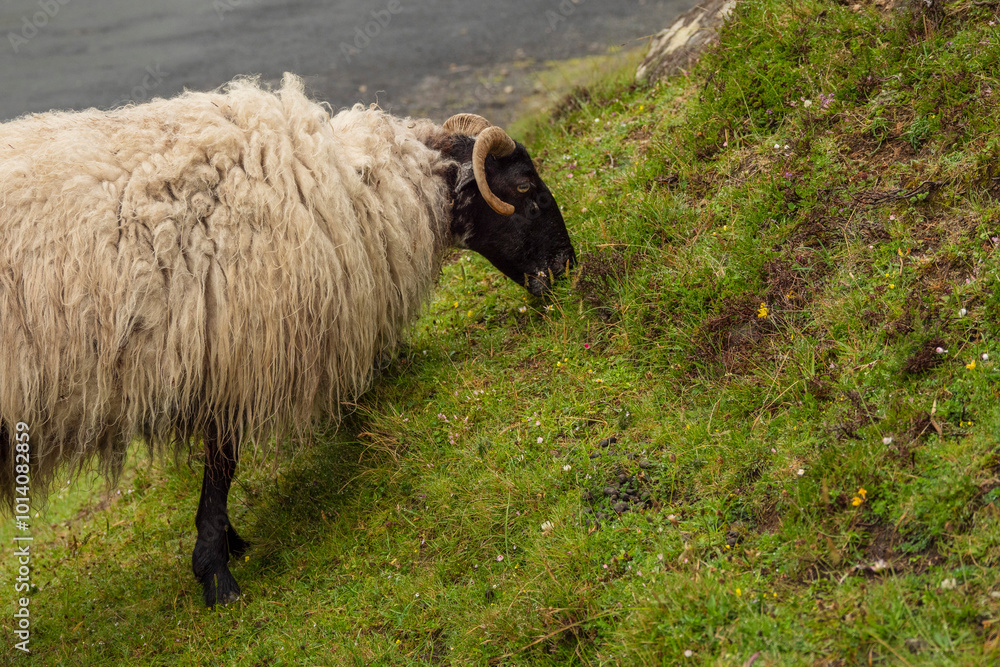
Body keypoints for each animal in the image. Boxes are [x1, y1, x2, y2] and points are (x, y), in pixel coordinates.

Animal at [0, 73, 575, 606]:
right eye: (526, 187)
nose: (567, 268)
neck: (358, 188)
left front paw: (224, 544)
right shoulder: (241, 352)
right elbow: (223, 463)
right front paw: (216, 571)